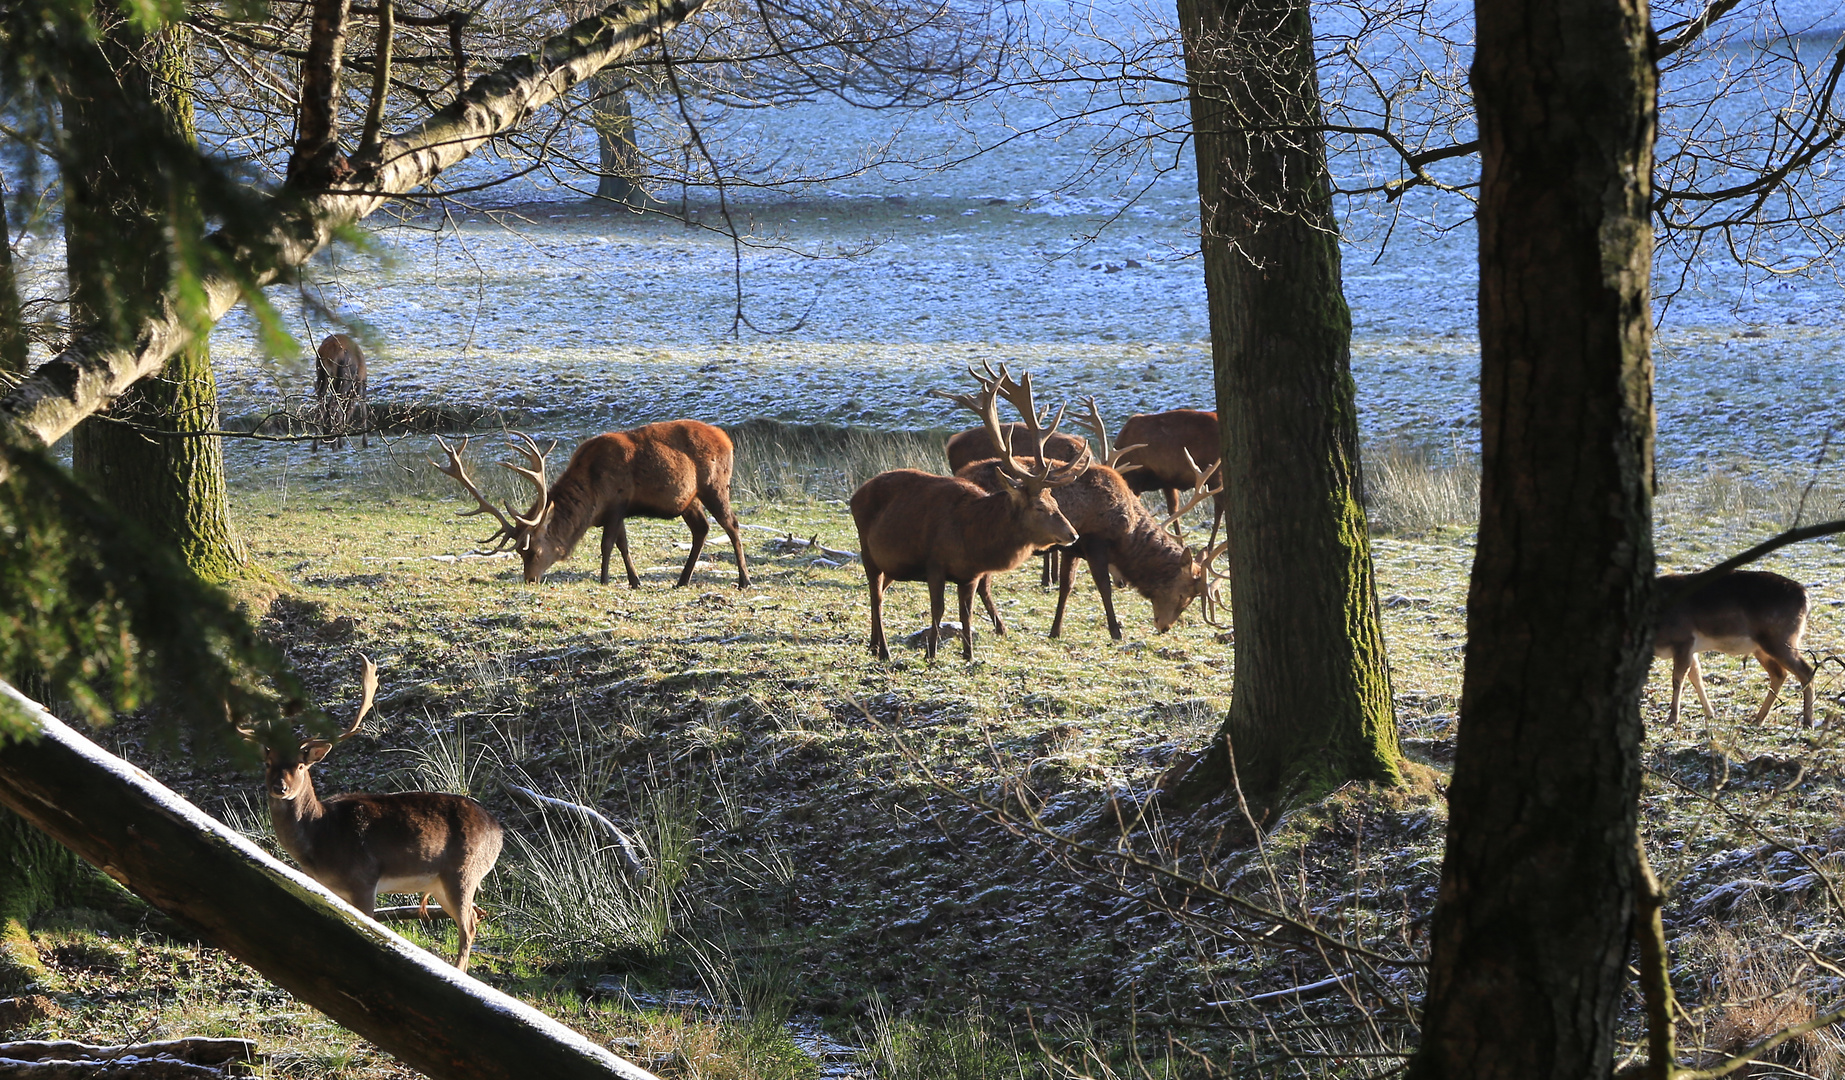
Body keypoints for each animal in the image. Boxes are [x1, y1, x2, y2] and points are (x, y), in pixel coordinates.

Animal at [243, 653, 512, 974]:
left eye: (299, 764)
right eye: (268, 762)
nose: (279, 787)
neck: (322, 837)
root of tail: (498, 830)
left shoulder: (363, 879)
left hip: (463, 872)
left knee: (468, 925)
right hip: (440, 885)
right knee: (474, 916)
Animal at [433, 420, 749, 590]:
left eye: (534, 552)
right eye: (521, 555)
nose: (530, 580)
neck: (591, 498)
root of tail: (727, 439)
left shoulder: (619, 501)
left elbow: (608, 544)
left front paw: (605, 579)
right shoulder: (614, 511)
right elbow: (622, 543)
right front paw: (634, 581)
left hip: (715, 484)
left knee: (731, 525)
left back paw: (744, 580)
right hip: (688, 499)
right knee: (702, 529)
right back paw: (682, 580)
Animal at [852, 365, 1084, 660]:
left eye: (1055, 500)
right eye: (1040, 506)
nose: (1073, 534)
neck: (972, 538)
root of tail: (856, 494)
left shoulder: (970, 575)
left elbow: (967, 613)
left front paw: (969, 655)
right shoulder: (934, 563)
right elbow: (938, 609)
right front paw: (931, 654)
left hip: (891, 562)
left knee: (880, 591)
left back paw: (872, 645)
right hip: (867, 551)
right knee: (876, 595)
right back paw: (883, 650)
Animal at [1660, 568, 1815, 727]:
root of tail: (1806, 598)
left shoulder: (1683, 640)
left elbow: (1678, 680)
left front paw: (1672, 719)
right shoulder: (1691, 649)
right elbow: (1696, 677)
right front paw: (1710, 713)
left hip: (1781, 639)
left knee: (1806, 670)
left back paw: (1808, 722)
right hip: (1762, 647)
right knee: (1779, 674)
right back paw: (1758, 719)